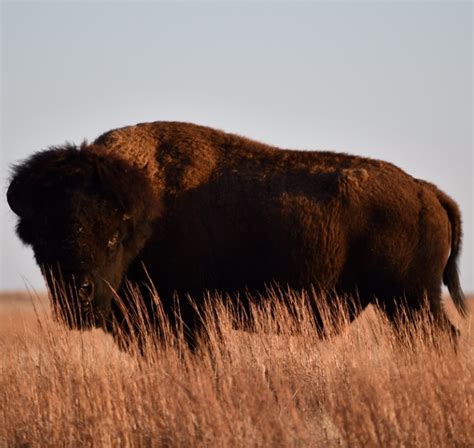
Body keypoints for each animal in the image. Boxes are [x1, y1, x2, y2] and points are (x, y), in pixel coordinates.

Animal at [7, 121, 466, 348]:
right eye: (40, 239)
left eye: (114, 236)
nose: (78, 293)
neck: (149, 209)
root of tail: (424, 191)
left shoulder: (187, 317)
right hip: (405, 304)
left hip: (410, 302)